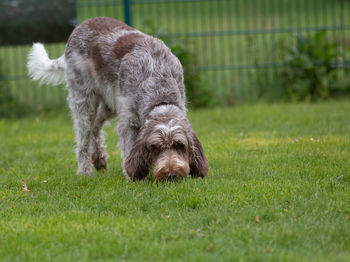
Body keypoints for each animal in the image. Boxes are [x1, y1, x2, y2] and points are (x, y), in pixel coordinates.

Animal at [28, 16, 208, 180]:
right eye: (155, 147)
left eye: (180, 145)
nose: (171, 174)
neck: (159, 89)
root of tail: (78, 28)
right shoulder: (129, 122)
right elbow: (128, 150)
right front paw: (133, 177)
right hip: (84, 101)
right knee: (83, 139)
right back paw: (84, 171)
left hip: (110, 104)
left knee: (96, 127)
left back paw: (99, 159)